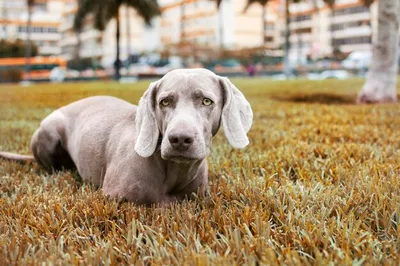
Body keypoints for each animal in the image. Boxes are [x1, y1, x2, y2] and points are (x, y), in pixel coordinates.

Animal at [0, 69, 253, 206]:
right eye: (164, 102)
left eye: (207, 101)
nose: (179, 139)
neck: (172, 171)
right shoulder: (114, 198)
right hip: (49, 132)